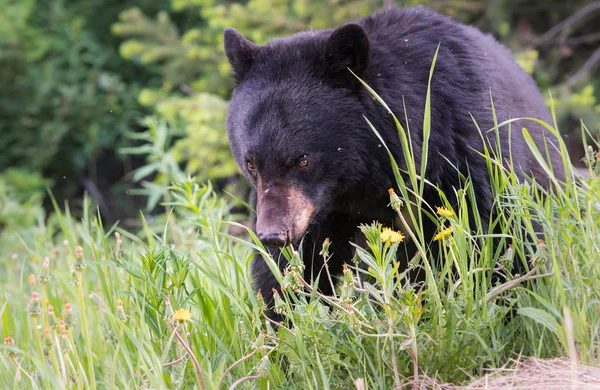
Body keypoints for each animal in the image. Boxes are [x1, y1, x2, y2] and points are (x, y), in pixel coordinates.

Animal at [223, 5, 564, 310]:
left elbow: (495, 231)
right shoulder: (316, 209)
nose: (273, 235)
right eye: (251, 163)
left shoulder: (467, 154)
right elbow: (291, 269)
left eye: (303, 160)